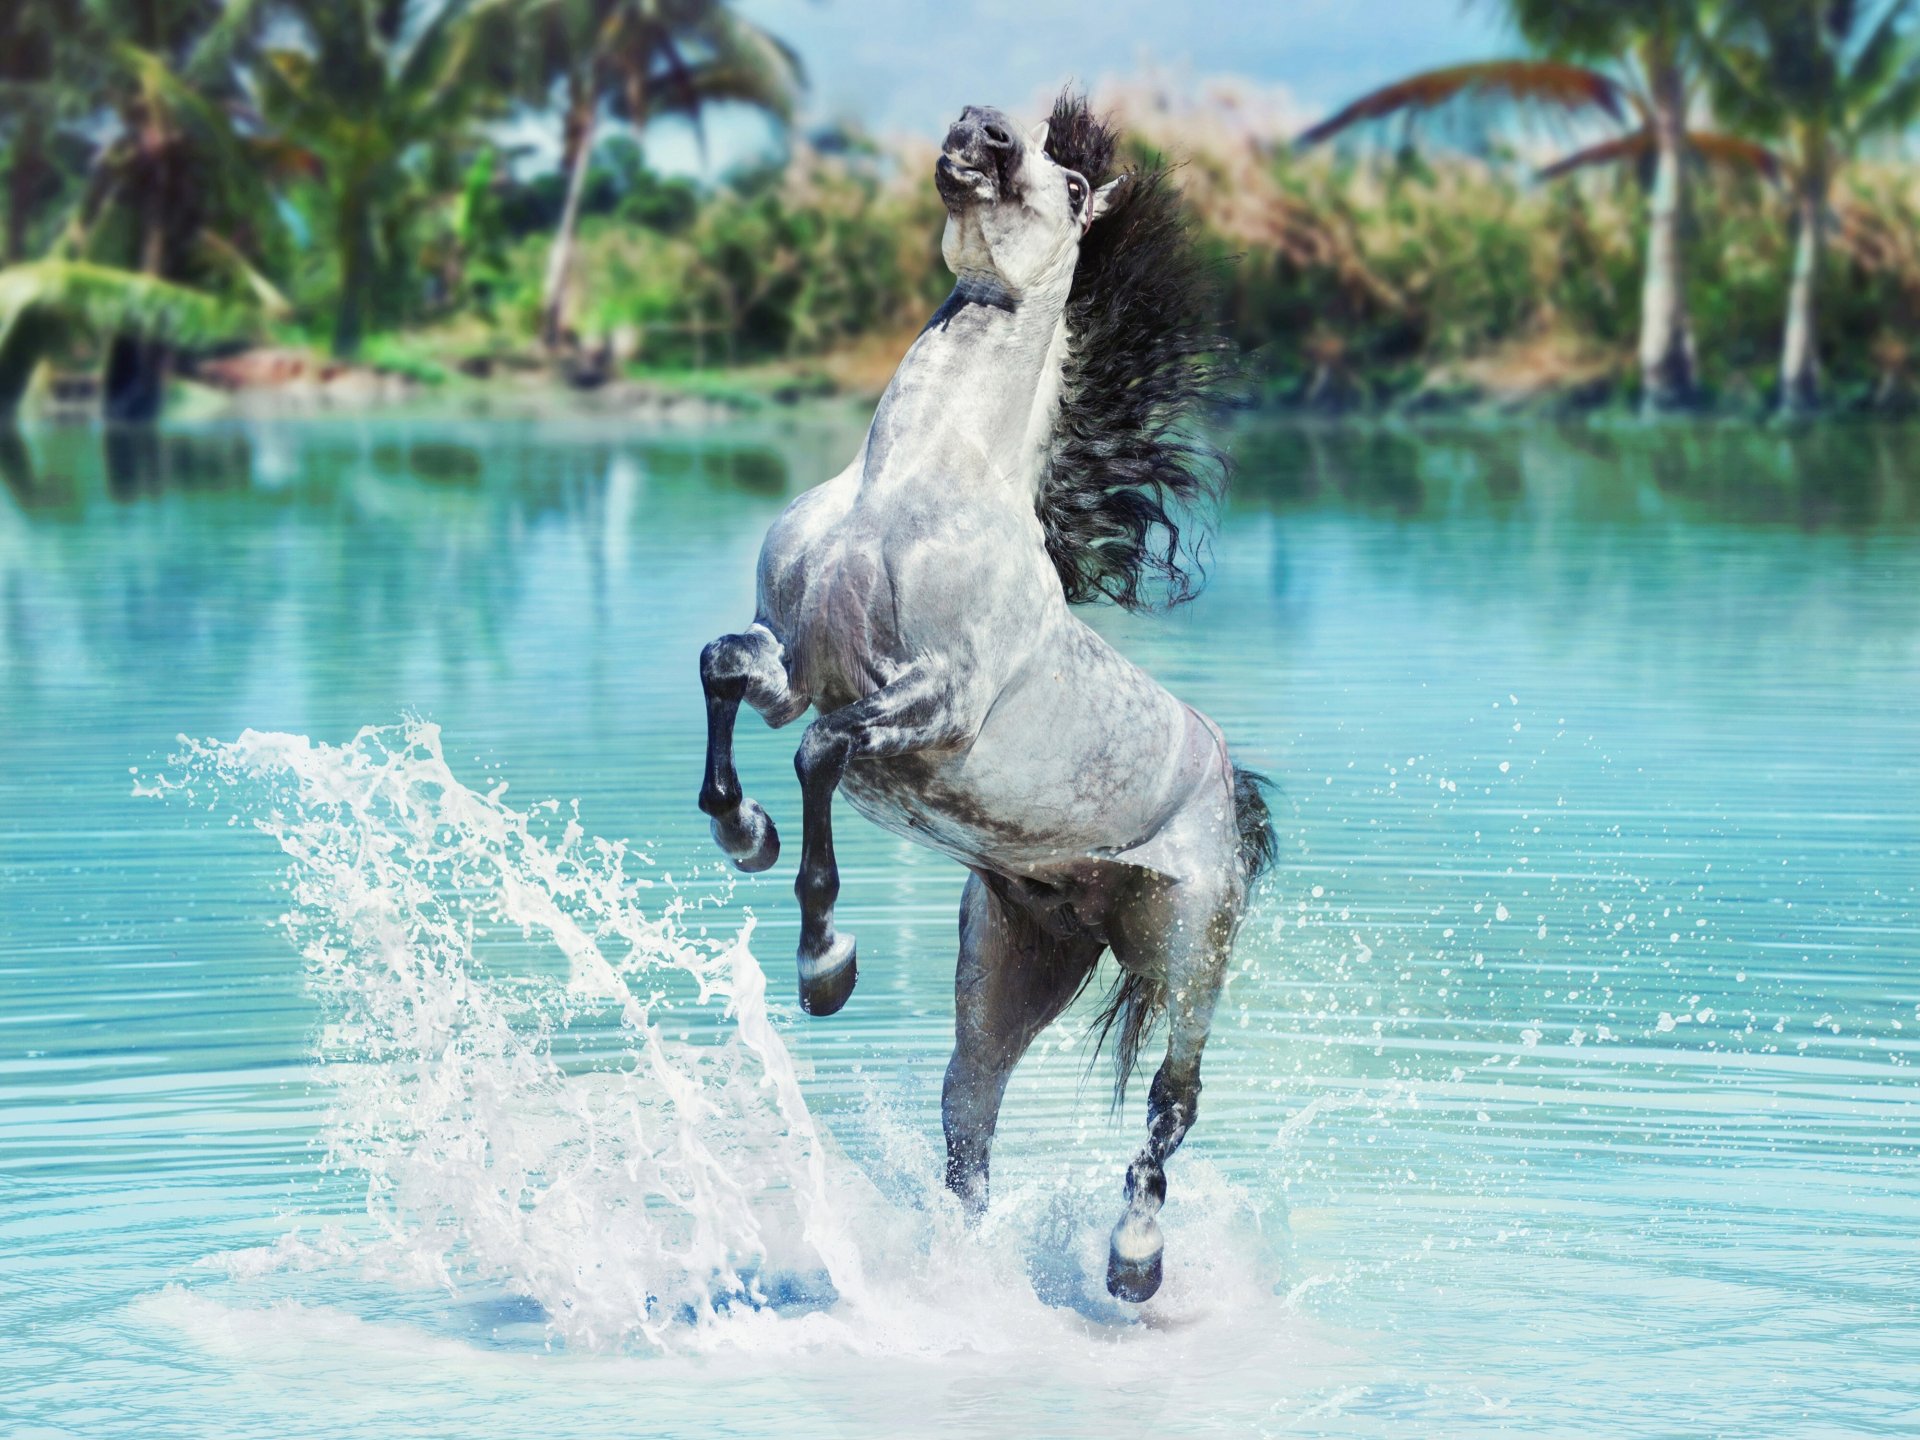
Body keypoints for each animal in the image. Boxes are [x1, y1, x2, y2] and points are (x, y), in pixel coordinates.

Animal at [696, 94, 1274, 1304]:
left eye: (1070, 182)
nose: (981, 134)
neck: (908, 488)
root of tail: (1231, 778)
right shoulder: (792, 660)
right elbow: (724, 669)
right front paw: (743, 833)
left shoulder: (934, 706)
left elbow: (822, 754)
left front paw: (825, 964)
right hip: (1012, 963)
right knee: (972, 1117)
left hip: (1192, 948)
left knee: (1173, 1101)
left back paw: (1133, 1262)